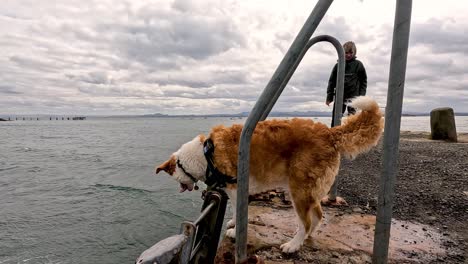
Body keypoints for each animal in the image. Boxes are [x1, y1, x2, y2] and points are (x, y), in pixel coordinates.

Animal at [157, 96, 384, 253]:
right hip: (309, 189)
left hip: (299, 189)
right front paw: (232, 224)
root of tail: (329, 132)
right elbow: (236, 212)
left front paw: (234, 231)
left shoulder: (237, 188)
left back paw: (293, 245)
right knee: (318, 216)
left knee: (307, 221)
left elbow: (239, 211)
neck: (204, 154)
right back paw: (305, 238)